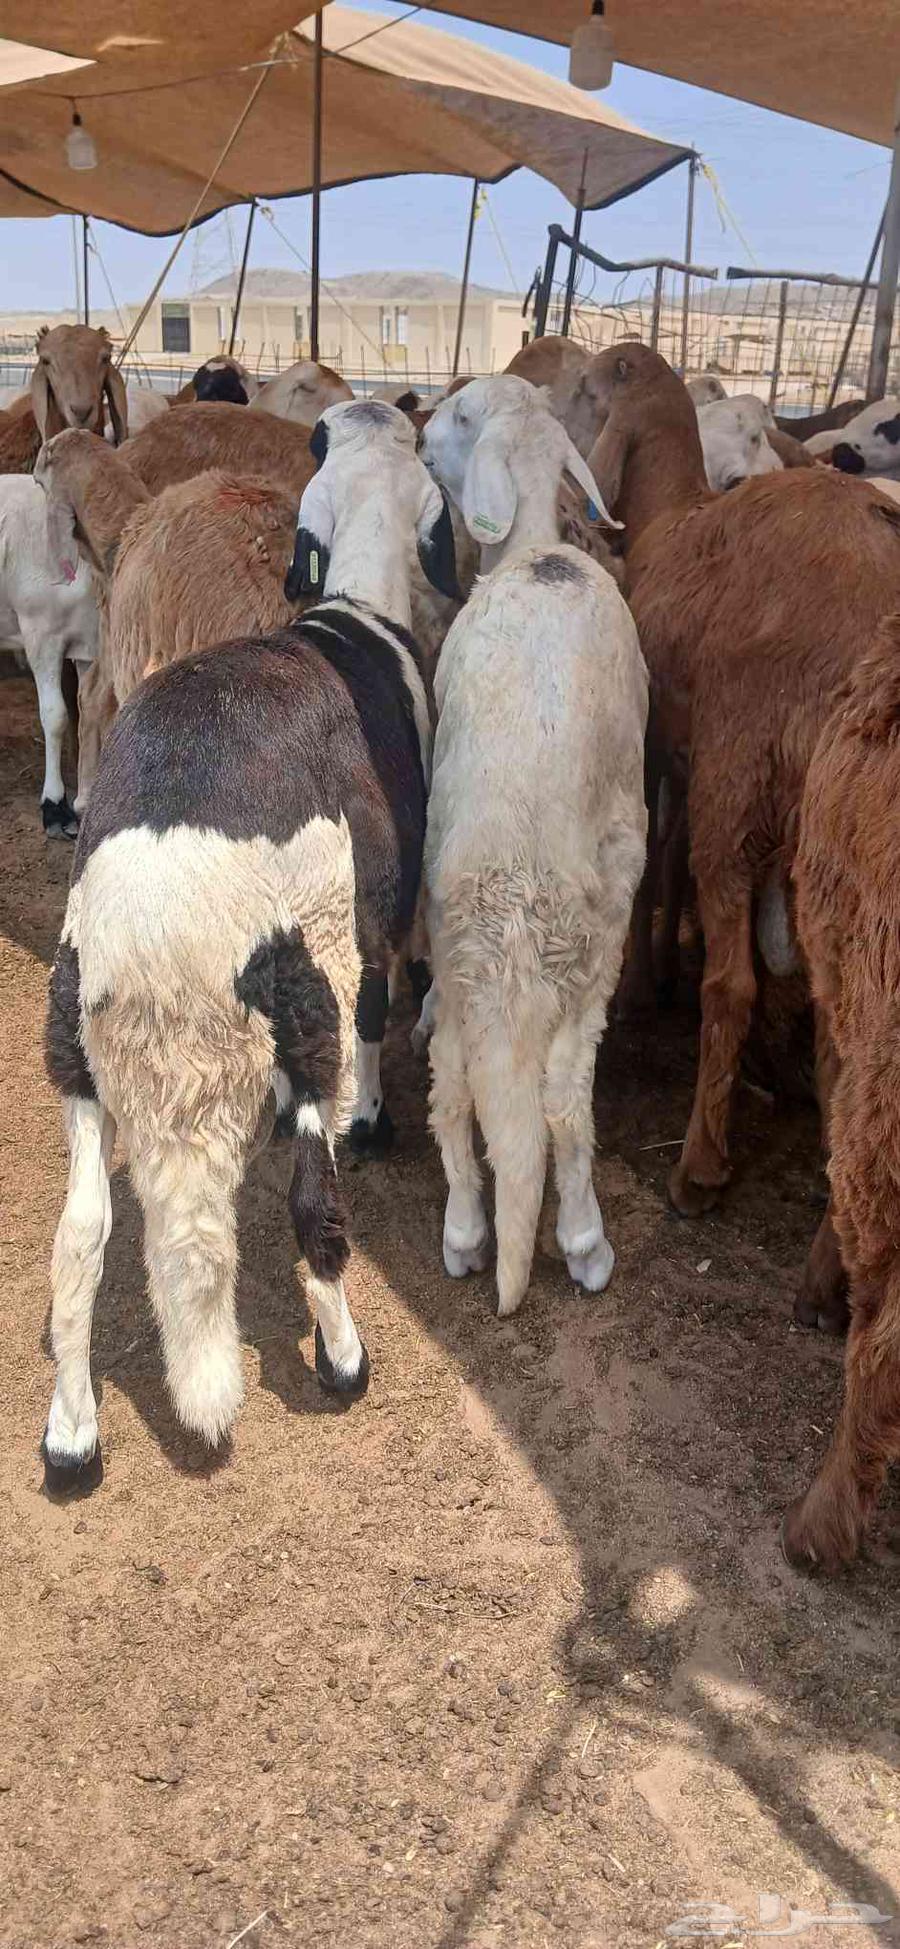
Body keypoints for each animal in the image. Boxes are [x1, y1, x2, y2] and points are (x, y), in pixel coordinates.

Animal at [41, 398, 456, 1489]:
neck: (355, 601)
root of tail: (163, 912)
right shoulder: (372, 923)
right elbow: (381, 1009)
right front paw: (376, 1118)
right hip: (301, 992)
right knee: (314, 1203)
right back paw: (344, 1361)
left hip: (74, 1045)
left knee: (79, 1238)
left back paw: (71, 1438)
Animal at [585, 341, 900, 1222]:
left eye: (589, 391)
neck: (671, 514)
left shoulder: (660, 744)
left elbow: (653, 857)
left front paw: (639, 981)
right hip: (827, 846)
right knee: (835, 1018)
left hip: (739, 774)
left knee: (733, 982)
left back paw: (699, 1164)